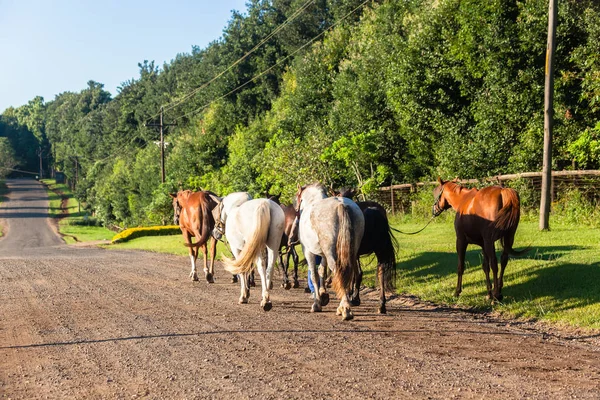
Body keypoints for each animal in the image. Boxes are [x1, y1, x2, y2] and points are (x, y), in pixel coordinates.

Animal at [296, 183, 366, 320]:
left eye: (298, 197)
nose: (296, 209)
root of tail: (341, 205)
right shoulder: (323, 255)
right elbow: (322, 271)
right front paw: (323, 294)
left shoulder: (308, 252)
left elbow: (314, 275)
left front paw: (317, 303)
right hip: (351, 252)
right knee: (350, 273)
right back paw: (345, 304)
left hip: (332, 254)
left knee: (339, 272)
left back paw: (345, 309)